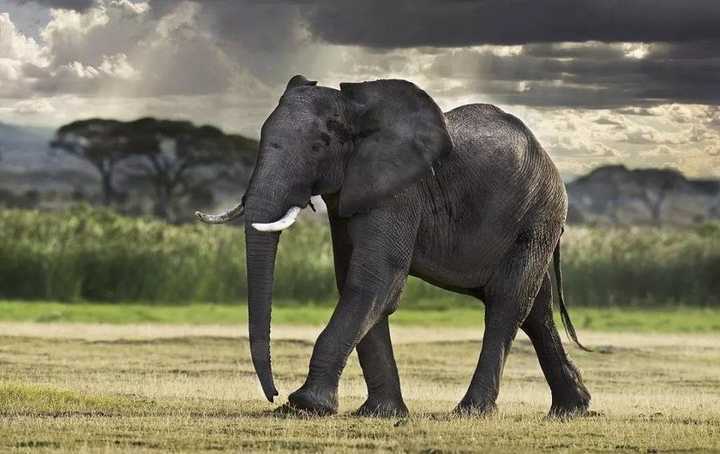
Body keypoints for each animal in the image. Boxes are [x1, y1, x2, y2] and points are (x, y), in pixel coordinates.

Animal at [196, 75, 592, 418]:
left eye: (317, 146)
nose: (274, 394)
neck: (355, 107)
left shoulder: (400, 192)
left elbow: (375, 280)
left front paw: (305, 406)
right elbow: (357, 282)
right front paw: (379, 414)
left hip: (538, 215)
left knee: (506, 302)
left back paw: (472, 411)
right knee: (536, 310)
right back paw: (572, 409)